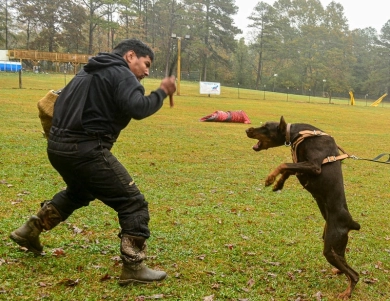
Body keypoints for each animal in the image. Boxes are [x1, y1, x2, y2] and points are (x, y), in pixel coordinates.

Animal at [245, 115, 362, 298]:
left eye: (265, 127)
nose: (247, 130)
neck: (298, 133)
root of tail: (351, 222)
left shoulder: (314, 166)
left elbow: (284, 164)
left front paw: (270, 178)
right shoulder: (302, 166)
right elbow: (288, 169)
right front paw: (278, 184)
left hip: (330, 247)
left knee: (355, 275)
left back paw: (346, 292)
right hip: (336, 243)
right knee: (345, 264)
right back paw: (339, 273)